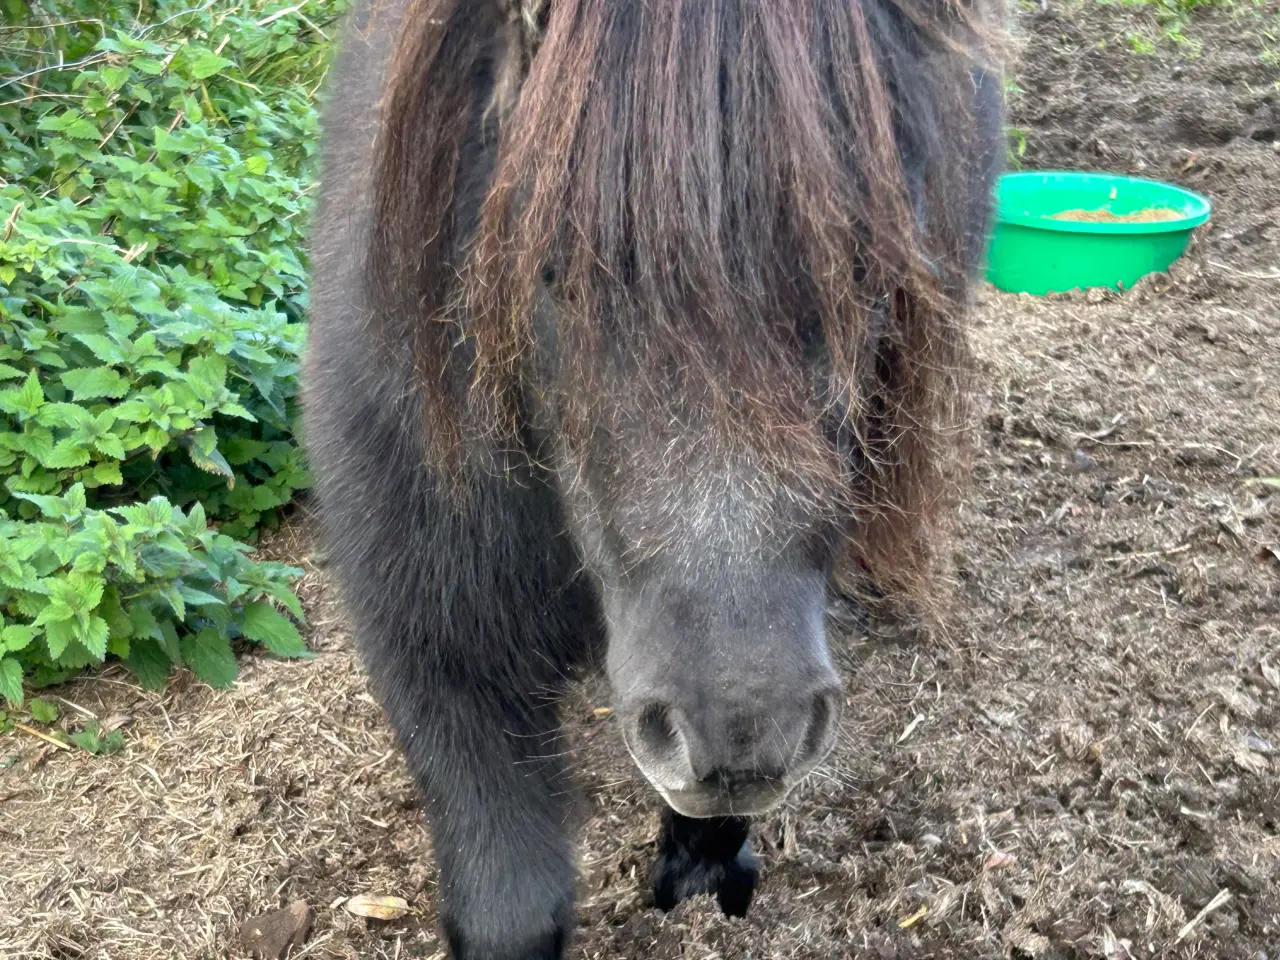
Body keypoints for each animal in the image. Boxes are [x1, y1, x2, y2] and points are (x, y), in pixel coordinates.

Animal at [304, 0, 1003, 957]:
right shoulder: (429, 628)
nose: (740, 737)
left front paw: (701, 866)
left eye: (863, 270)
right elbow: (511, 908)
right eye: (552, 272)